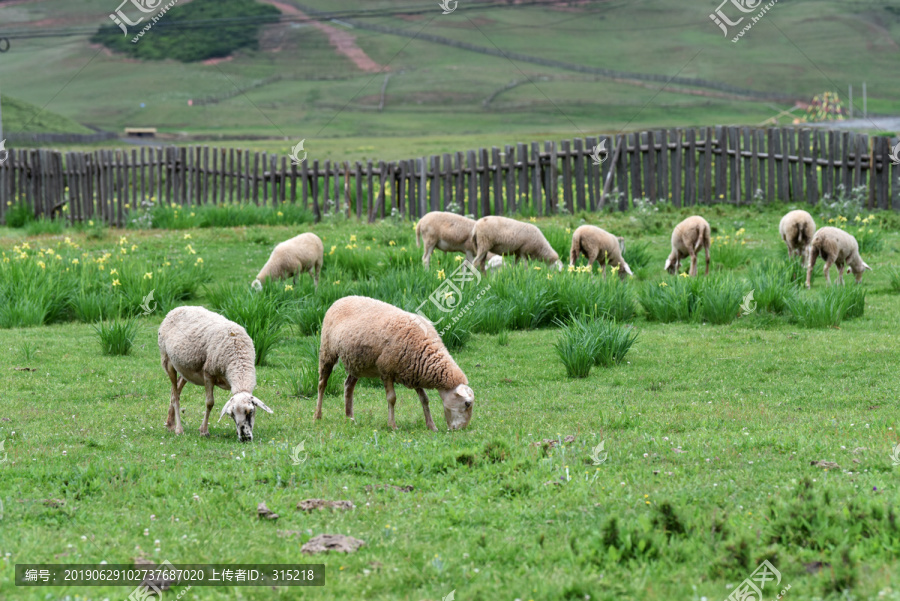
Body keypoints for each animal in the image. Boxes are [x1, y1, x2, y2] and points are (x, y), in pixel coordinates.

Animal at [158, 304, 272, 440]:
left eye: (251, 411)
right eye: (231, 414)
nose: (245, 438)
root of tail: (176, 309)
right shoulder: (208, 373)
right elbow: (209, 403)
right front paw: (204, 431)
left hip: (185, 369)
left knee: (175, 391)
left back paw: (170, 424)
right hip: (167, 361)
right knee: (175, 396)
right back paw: (179, 429)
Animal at [314, 296, 474, 432]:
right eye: (467, 404)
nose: (461, 429)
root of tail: (341, 299)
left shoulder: (414, 372)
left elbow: (424, 399)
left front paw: (431, 426)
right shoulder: (387, 371)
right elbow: (392, 398)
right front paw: (392, 425)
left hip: (357, 362)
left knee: (348, 386)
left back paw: (350, 417)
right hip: (327, 351)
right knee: (322, 384)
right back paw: (317, 415)